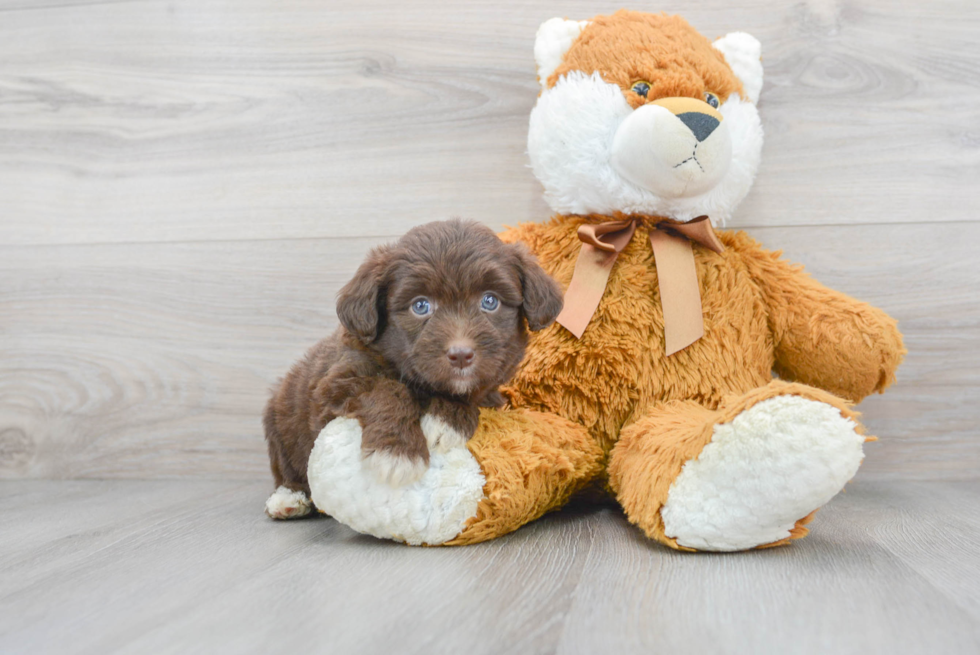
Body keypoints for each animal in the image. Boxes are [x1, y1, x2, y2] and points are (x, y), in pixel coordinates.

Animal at [264, 219, 564, 516]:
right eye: (420, 305)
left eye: (490, 301)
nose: (461, 355)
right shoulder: (335, 385)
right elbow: (387, 389)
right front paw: (397, 452)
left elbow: (469, 394)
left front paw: (447, 419)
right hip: (279, 426)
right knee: (286, 470)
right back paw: (288, 499)